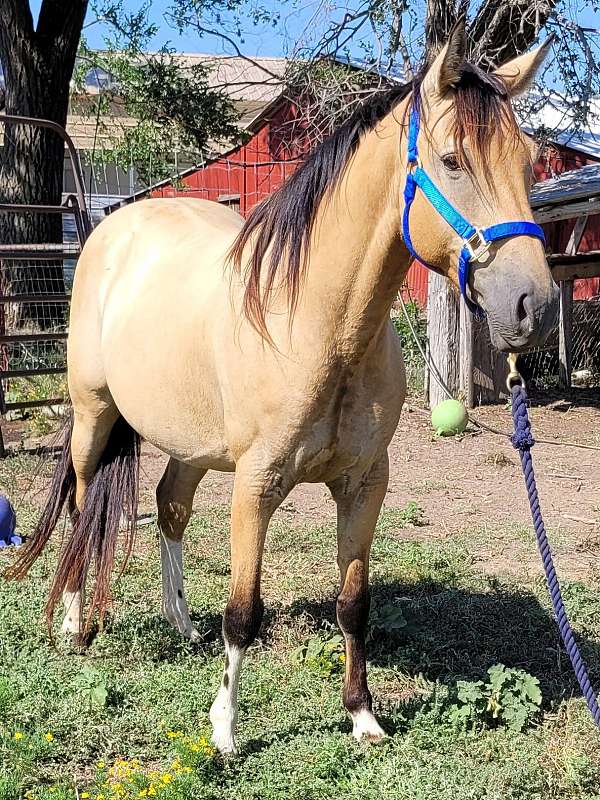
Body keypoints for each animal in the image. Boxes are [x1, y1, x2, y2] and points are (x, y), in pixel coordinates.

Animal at [7, 21, 556, 752]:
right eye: (452, 160)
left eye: (528, 161)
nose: (533, 306)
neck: (322, 326)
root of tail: (111, 230)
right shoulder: (257, 483)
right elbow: (244, 611)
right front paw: (225, 729)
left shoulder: (364, 482)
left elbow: (354, 604)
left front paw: (362, 716)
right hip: (95, 417)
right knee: (80, 501)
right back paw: (75, 622)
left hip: (190, 441)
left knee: (170, 507)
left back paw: (181, 622)